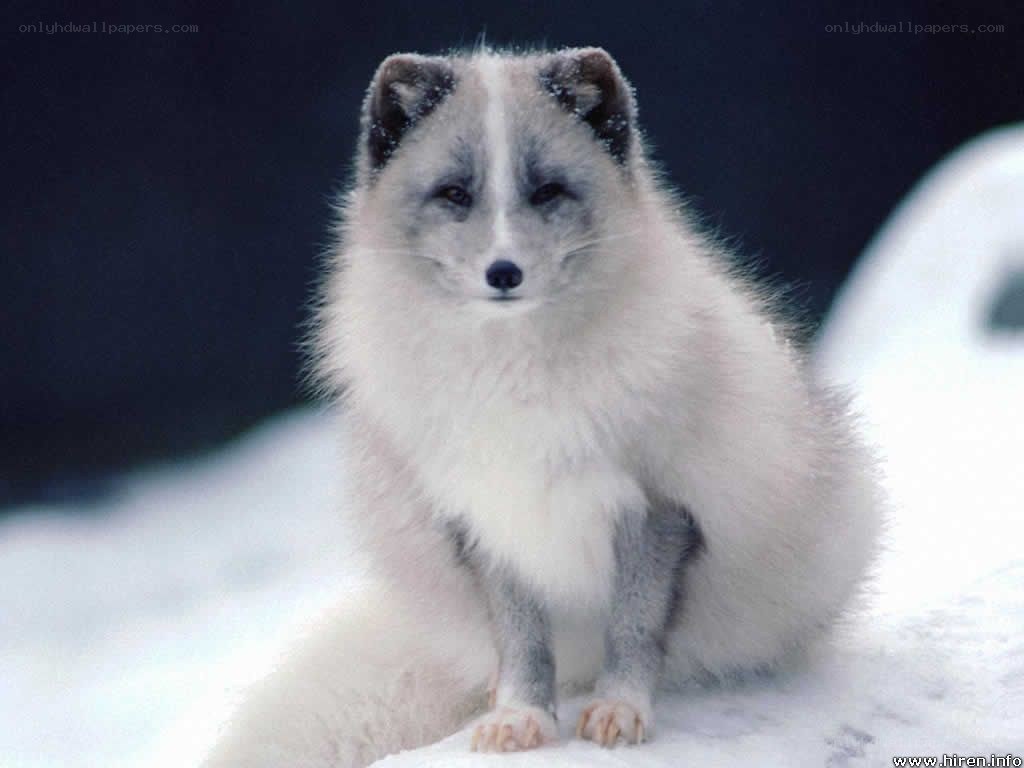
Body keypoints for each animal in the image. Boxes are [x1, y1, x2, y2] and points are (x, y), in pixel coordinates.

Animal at [203, 46, 882, 767]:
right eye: (455, 193)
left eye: (548, 191)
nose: (504, 273)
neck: (516, 378)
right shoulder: (489, 516)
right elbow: (521, 641)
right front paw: (519, 718)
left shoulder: (660, 506)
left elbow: (634, 628)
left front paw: (620, 709)